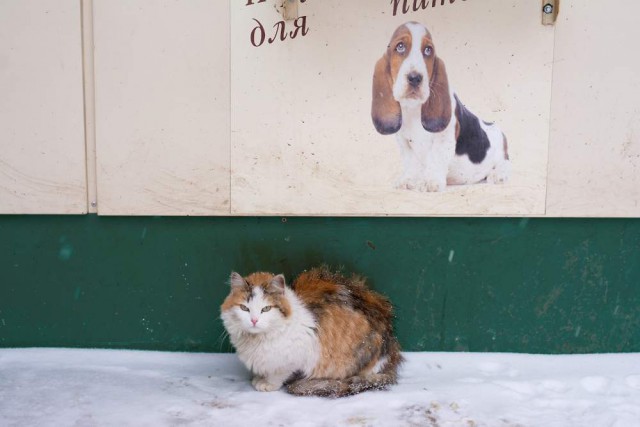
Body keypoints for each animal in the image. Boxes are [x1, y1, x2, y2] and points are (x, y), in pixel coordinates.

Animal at [219, 266, 400, 400]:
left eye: (266, 309)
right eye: (244, 308)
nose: (254, 320)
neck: (256, 339)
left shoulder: (297, 355)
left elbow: (279, 373)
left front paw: (268, 383)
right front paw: (259, 378)